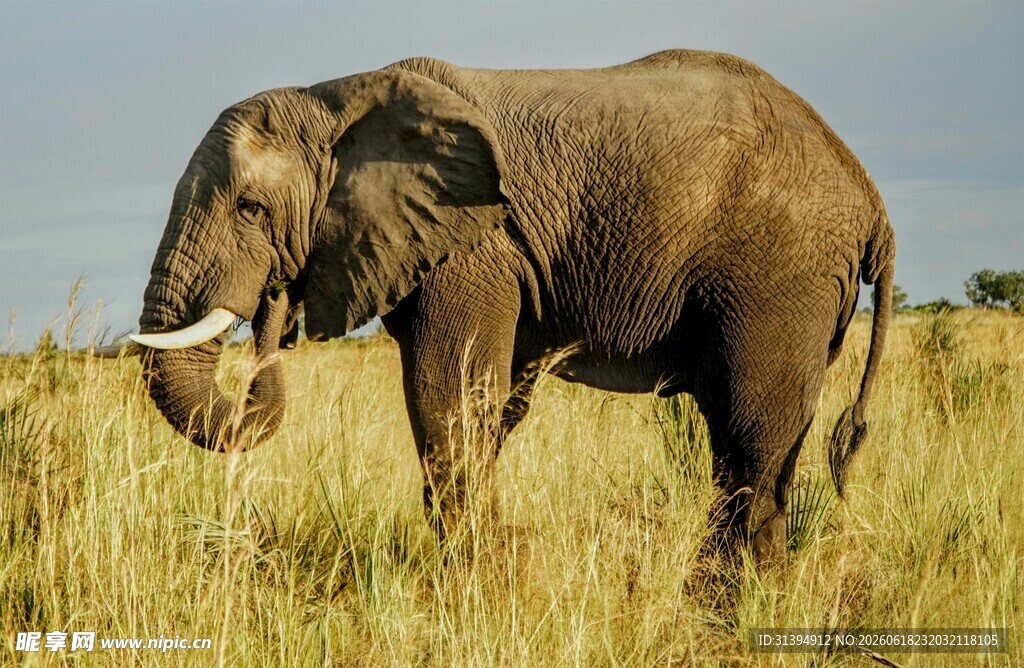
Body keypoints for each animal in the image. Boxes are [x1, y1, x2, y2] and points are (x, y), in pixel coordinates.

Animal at [131, 49, 895, 566]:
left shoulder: (474, 246)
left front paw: (474, 577)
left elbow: (449, 399)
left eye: (249, 209)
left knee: (749, 444)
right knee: (764, 449)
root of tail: (867, 194)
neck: (331, 98)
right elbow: (493, 410)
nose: (272, 310)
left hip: (778, 276)